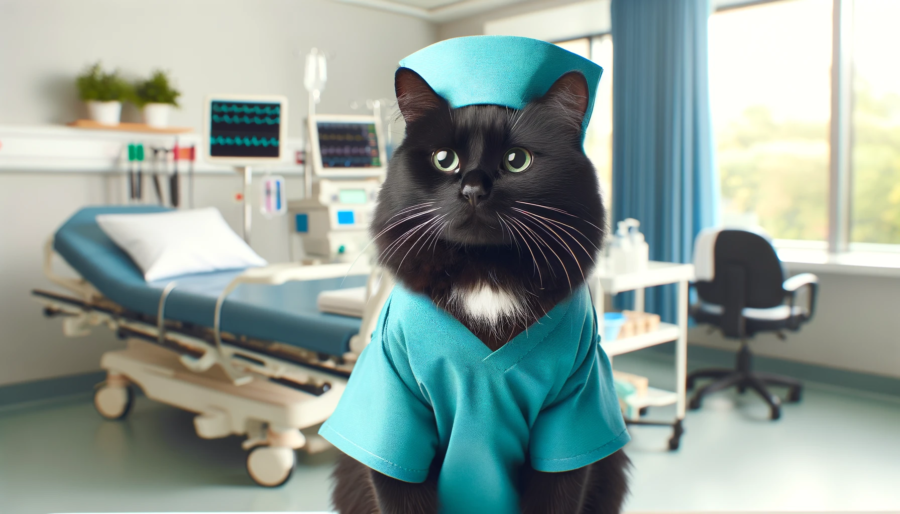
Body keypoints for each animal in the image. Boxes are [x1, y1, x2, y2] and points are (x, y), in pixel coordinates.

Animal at [330, 69, 632, 512]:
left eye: (517, 160)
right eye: (444, 159)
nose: (473, 189)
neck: (486, 274)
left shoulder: (574, 403)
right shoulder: (395, 401)